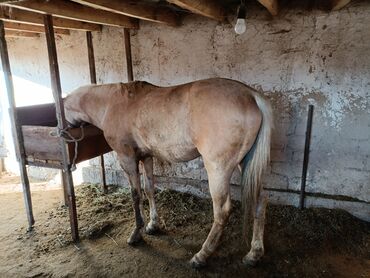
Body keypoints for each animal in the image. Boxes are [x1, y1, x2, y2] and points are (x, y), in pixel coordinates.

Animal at [64, 77, 272, 268]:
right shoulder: (146, 156)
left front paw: (136, 234)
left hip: (218, 169)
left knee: (222, 211)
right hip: (244, 164)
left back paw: (202, 255)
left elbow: (135, 195)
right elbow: (149, 190)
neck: (112, 103)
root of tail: (251, 95)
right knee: (261, 199)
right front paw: (152, 225)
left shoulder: (127, 158)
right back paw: (254, 253)